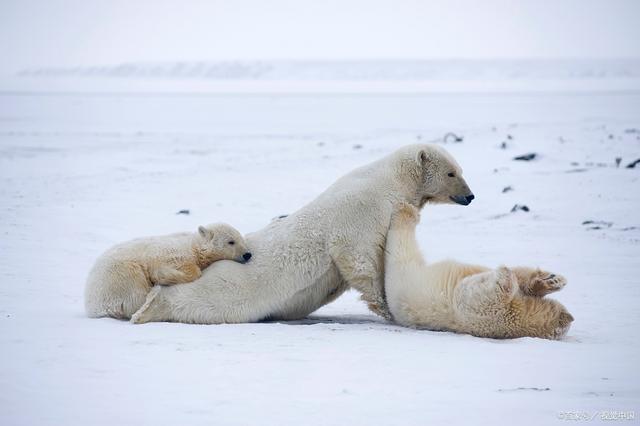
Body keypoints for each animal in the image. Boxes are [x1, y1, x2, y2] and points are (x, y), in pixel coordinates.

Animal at [84, 223, 252, 320]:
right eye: (231, 241)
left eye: (241, 239)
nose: (247, 254)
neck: (194, 247)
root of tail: (93, 306)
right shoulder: (168, 252)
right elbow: (184, 268)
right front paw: (164, 277)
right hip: (121, 275)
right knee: (135, 294)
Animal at [126, 145, 476, 324]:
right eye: (452, 173)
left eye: (461, 170)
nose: (470, 196)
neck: (391, 180)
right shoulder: (362, 209)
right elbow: (358, 257)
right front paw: (386, 308)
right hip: (232, 286)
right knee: (203, 302)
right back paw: (149, 310)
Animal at [382, 203, 572, 340]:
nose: (503, 269)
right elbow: (516, 277)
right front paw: (552, 280)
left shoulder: (486, 314)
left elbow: (477, 290)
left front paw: (509, 275)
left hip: (405, 279)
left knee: (401, 247)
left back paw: (406, 211)